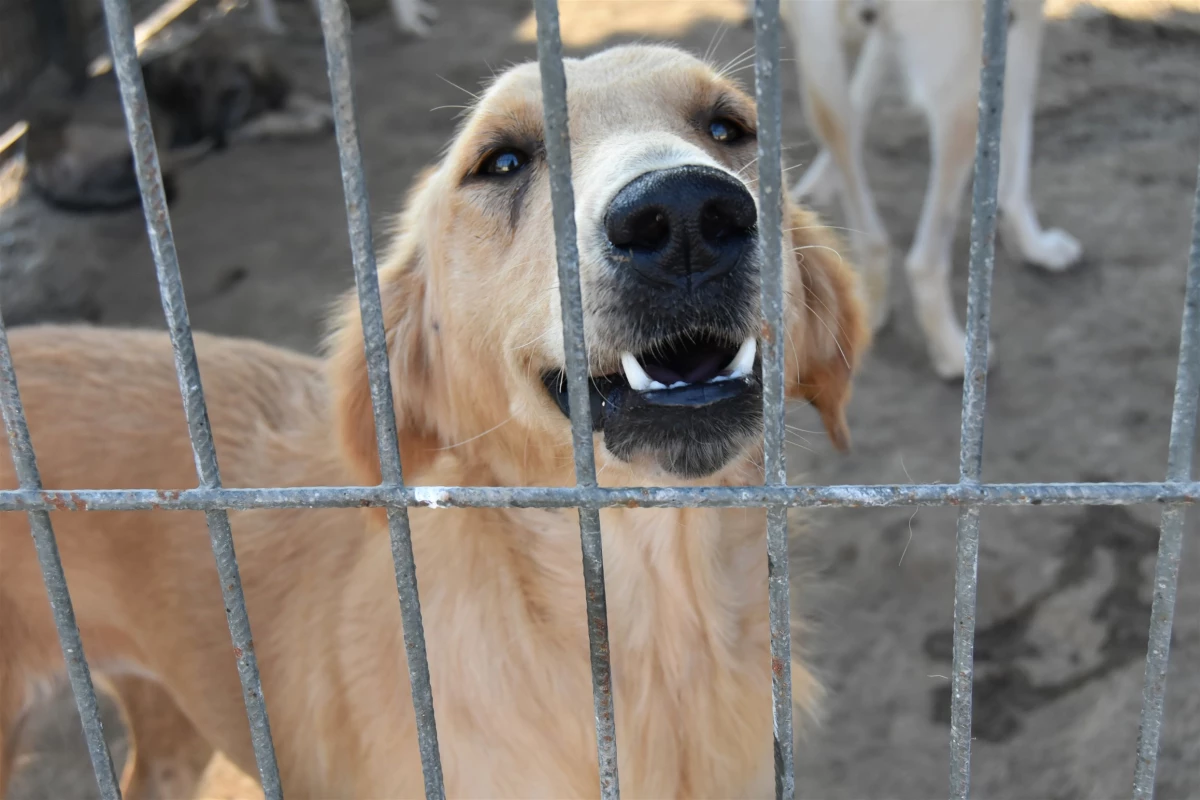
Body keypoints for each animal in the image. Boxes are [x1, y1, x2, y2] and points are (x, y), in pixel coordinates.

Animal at [782, 0, 1084, 379]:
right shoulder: (1021, 25)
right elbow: (1018, 142)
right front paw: (1034, 244)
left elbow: (863, 88)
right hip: (966, 95)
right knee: (923, 261)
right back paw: (953, 352)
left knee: (840, 134)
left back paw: (868, 292)